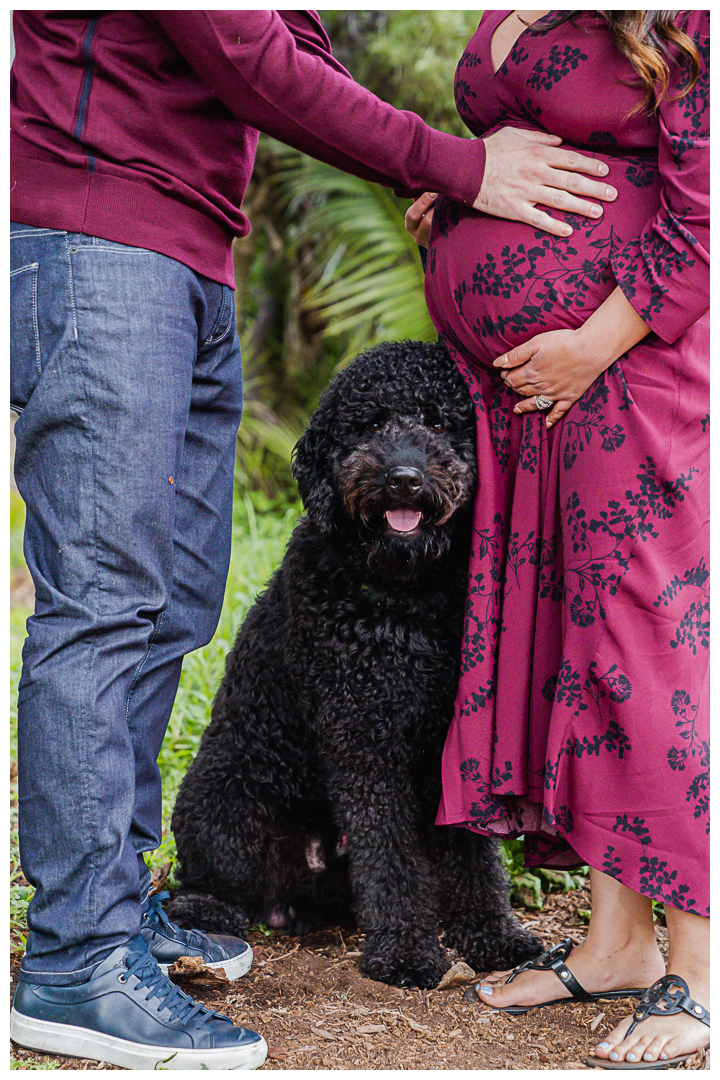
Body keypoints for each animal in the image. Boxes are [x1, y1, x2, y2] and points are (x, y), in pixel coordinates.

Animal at [169, 339, 539, 989]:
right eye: (369, 425)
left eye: (438, 423)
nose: (404, 478)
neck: (407, 595)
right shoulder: (365, 737)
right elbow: (389, 854)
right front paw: (406, 950)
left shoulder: (452, 744)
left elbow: (474, 856)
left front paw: (492, 934)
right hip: (227, 802)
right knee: (203, 885)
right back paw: (210, 918)